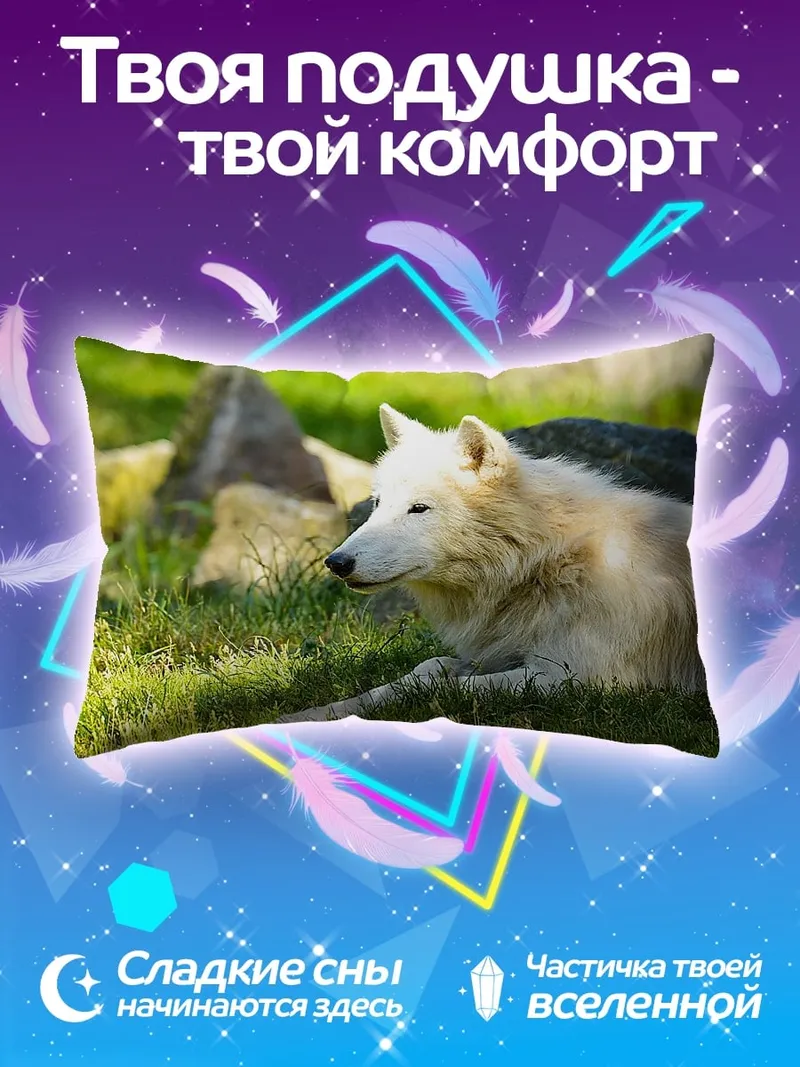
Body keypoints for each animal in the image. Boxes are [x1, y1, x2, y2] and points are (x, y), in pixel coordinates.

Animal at [282, 404, 706, 723]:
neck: (549, 562)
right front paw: (317, 713)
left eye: (419, 508)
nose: (336, 562)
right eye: (377, 504)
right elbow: (424, 671)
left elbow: (450, 687)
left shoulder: (581, 679)